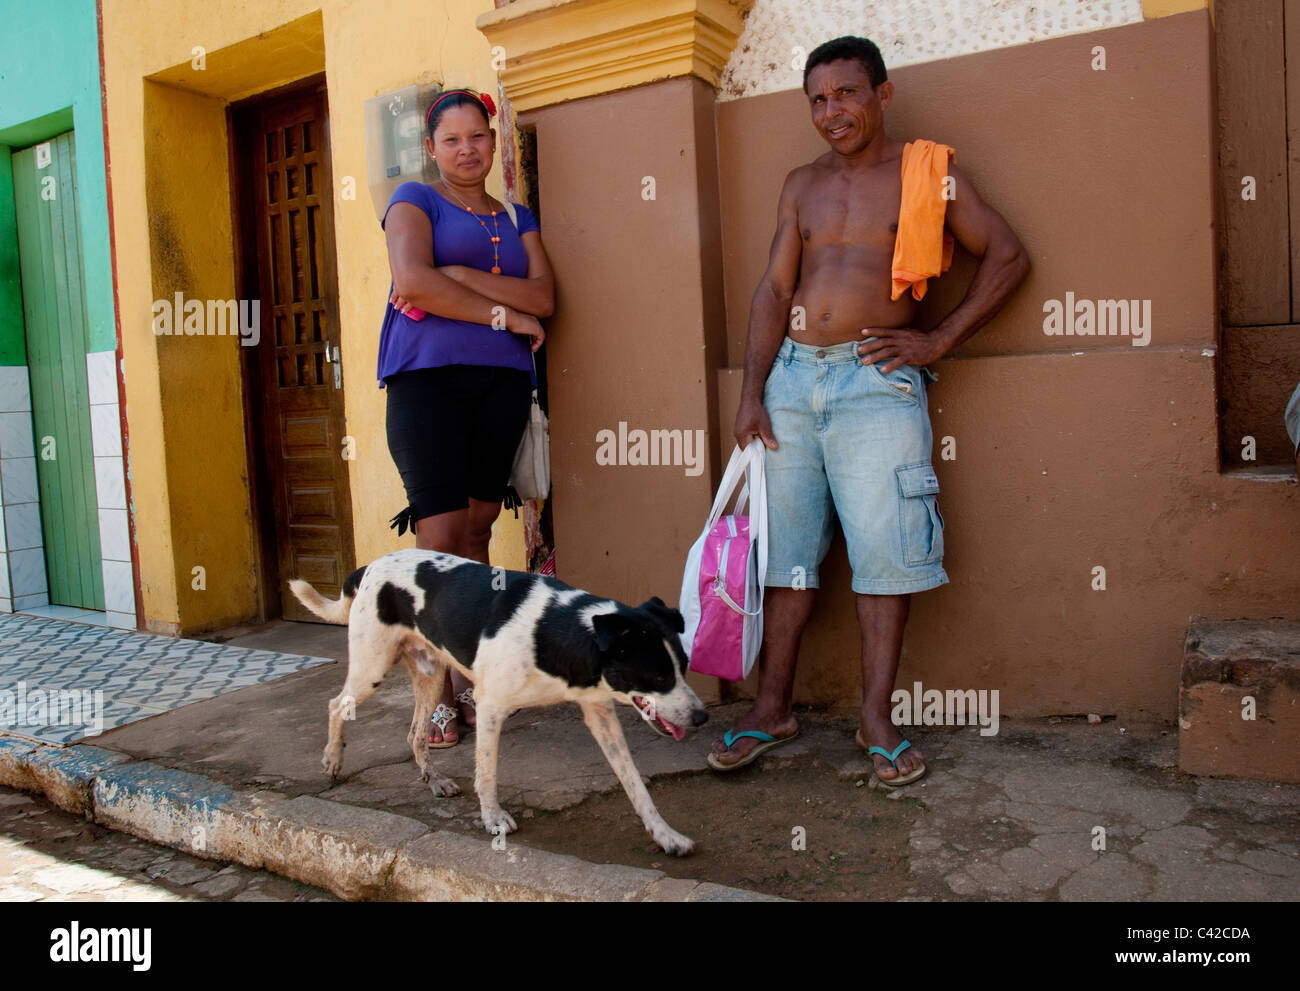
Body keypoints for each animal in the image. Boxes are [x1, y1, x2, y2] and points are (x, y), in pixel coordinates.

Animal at [292, 543, 712, 853]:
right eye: (659, 676)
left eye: (684, 667)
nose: (701, 717)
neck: (556, 631)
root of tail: (369, 566)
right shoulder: (490, 707)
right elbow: (488, 774)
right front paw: (493, 819)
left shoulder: (599, 713)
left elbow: (635, 783)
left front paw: (666, 835)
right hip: (372, 666)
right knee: (336, 705)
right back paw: (332, 760)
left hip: (430, 674)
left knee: (415, 733)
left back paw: (435, 780)